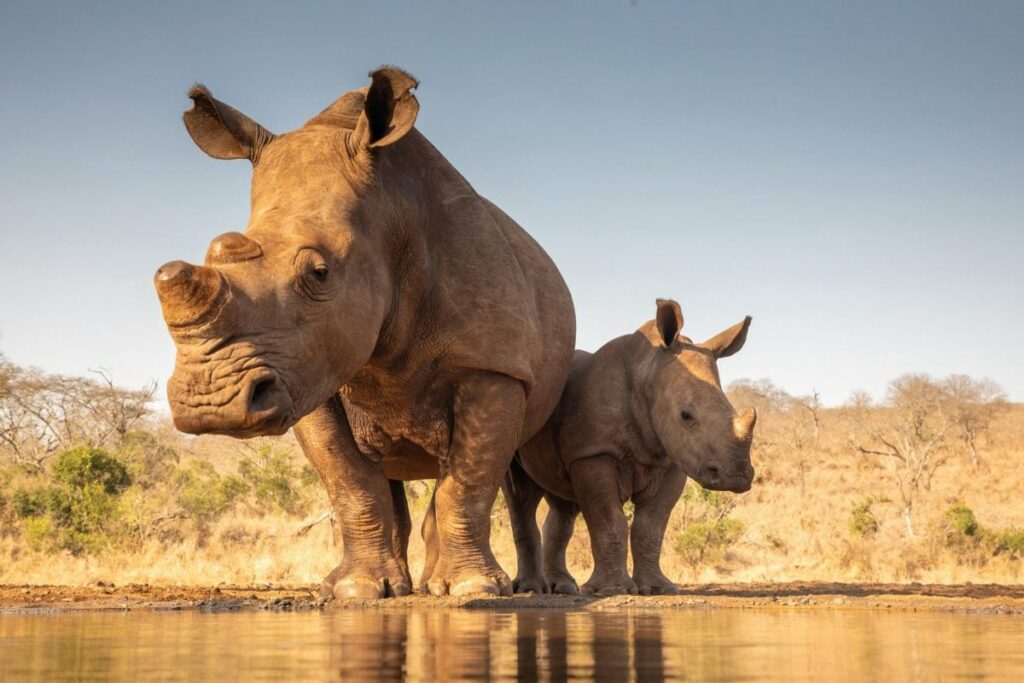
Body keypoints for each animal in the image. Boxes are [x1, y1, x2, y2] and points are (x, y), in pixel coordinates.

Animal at [156, 65, 581, 598]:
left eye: (319, 273)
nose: (211, 403)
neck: (390, 216)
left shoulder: (494, 366)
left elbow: (469, 481)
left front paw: (471, 590)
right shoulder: (306, 372)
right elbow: (349, 481)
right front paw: (357, 590)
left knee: (506, 478)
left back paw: (502, 588)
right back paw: (404, 585)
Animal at [507, 296, 757, 593]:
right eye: (685, 415)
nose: (737, 477)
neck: (647, 371)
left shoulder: (672, 461)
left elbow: (651, 527)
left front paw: (658, 589)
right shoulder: (594, 454)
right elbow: (609, 521)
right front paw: (611, 590)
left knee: (563, 503)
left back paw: (562, 587)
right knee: (521, 494)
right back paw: (530, 588)